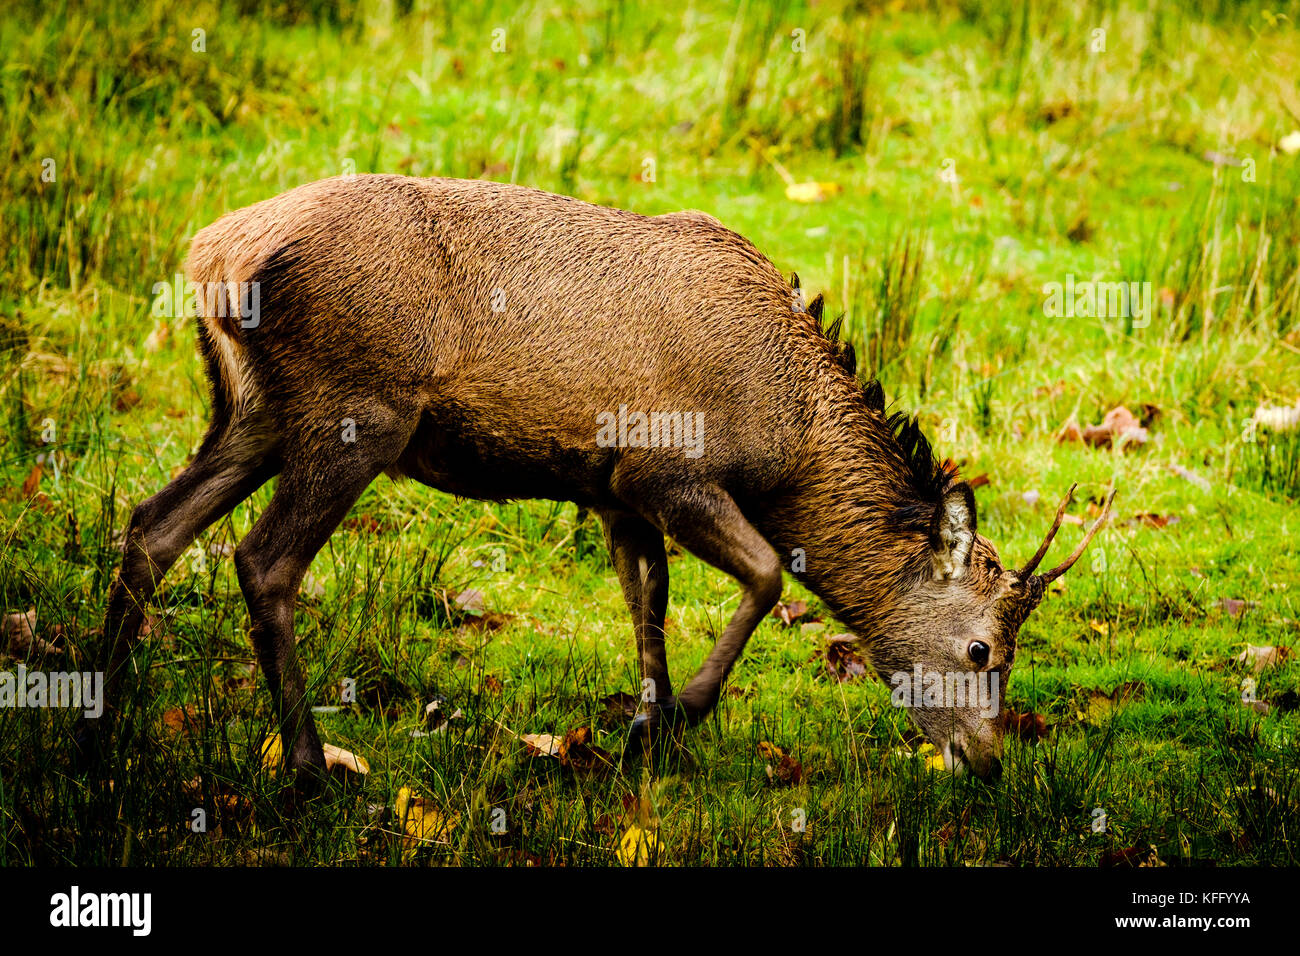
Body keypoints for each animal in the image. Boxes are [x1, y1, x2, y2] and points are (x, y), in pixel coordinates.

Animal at [76, 174, 1112, 785]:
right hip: (355, 412)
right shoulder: (667, 467)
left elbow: (645, 604)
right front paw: (684, 714)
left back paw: (97, 729)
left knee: (153, 526)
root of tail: (211, 254)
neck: (785, 445)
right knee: (263, 561)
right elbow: (764, 575)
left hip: (249, 413)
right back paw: (305, 762)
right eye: (982, 649)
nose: (987, 758)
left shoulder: (612, 490)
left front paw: (643, 736)